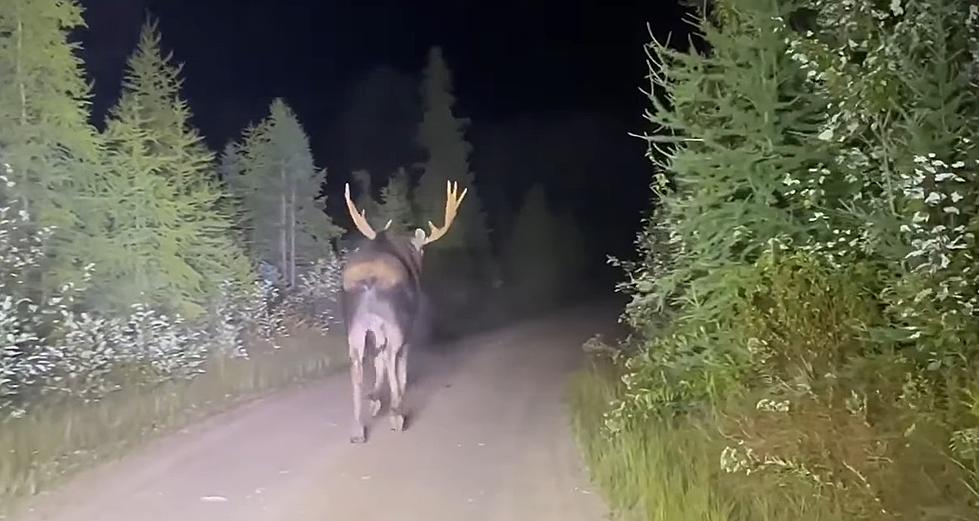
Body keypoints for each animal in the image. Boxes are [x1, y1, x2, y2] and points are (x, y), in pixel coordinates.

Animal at [342, 179, 468, 442]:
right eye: (420, 250)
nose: (420, 260)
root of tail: (369, 278)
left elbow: (377, 360)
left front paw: (375, 398)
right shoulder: (407, 325)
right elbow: (400, 367)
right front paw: (389, 399)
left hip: (355, 324)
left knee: (358, 362)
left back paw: (358, 427)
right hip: (396, 321)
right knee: (392, 356)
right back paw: (397, 413)